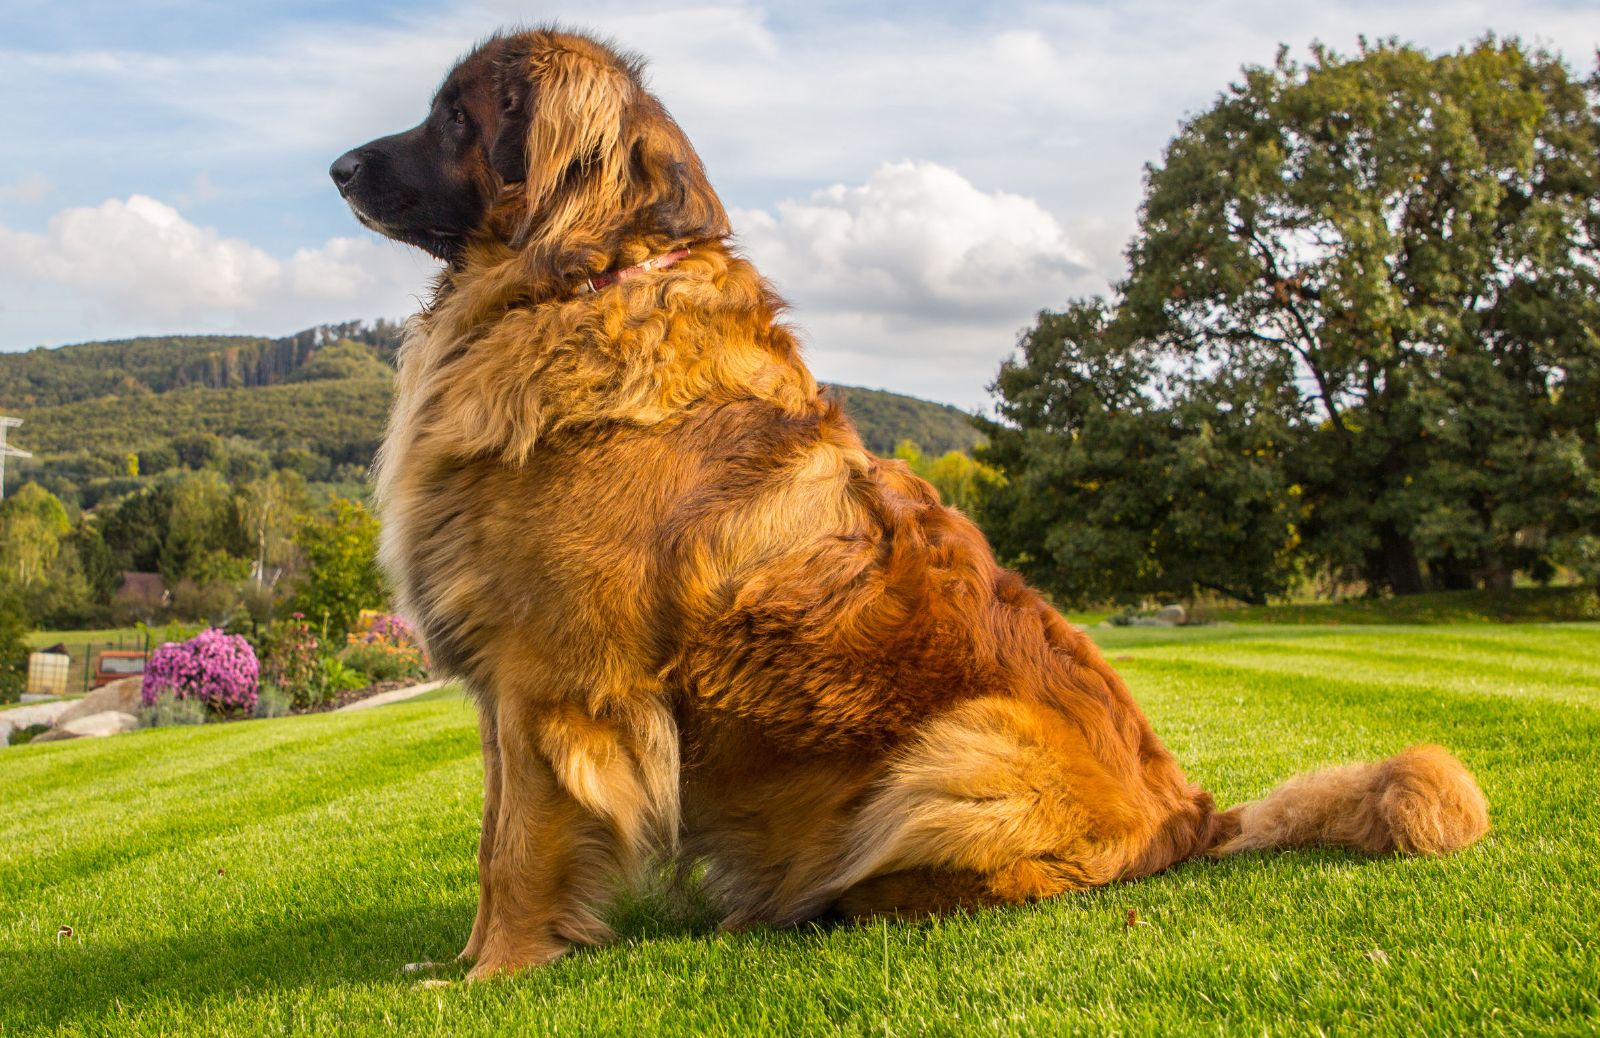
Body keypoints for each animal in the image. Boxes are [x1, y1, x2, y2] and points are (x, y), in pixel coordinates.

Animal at [331, 28, 1491, 978]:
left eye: (455, 118)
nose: (337, 168)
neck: (586, 283)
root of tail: (1194, 816)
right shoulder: (509, 692)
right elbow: (494, 832)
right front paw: (457, 964)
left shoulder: (554, 681)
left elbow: (520, 849)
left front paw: (493, 976)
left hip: (958, 746)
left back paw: (830, 900)